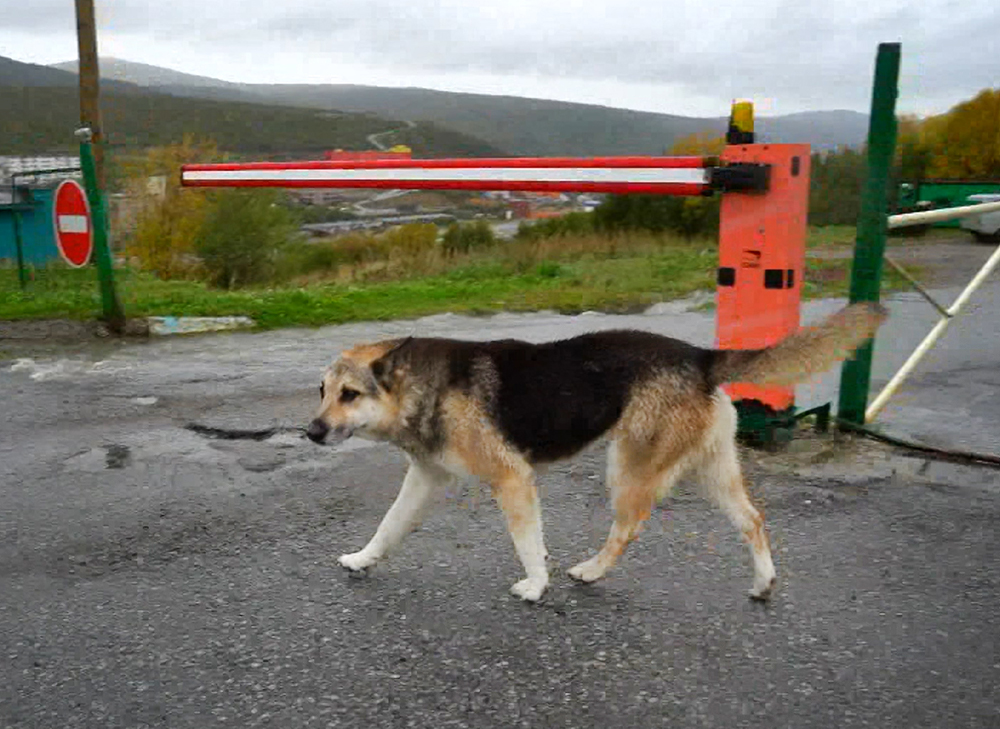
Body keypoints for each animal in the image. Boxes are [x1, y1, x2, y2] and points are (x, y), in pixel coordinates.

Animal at [304, 302, 884, 604]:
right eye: (322, 391)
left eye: (350, 394)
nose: (310, 431)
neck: (427, 386)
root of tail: (701, 357)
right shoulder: (423, 480)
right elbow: (387, 528)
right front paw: (362, 560)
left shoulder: (512, 480)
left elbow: (528, 544)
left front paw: (537, 585)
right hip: (711, 471)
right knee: (753, 520)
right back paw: (763, 581)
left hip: (627, 470)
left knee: (628, 529)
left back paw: (590, 572)